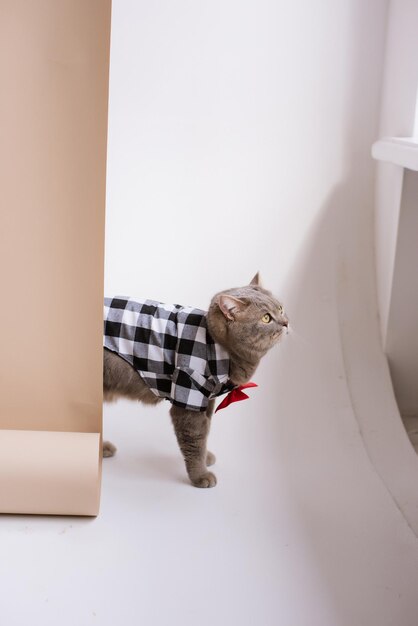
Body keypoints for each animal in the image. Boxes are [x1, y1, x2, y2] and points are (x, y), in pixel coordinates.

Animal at [103, 274, 290, 488]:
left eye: (281, 308)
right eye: (266, 318)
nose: (286, 322)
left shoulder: (207, 401)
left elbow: (205, 432)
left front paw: (205, 457)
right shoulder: (188, 396)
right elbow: (194, 440)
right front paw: (200, 475)